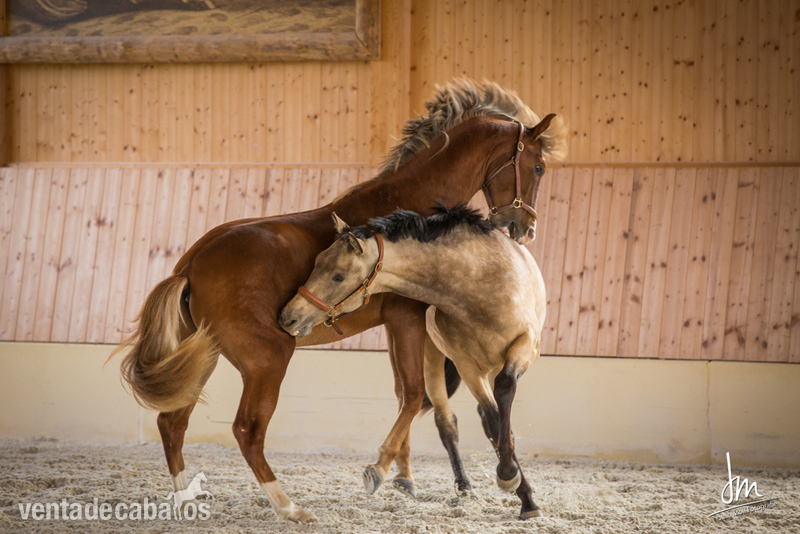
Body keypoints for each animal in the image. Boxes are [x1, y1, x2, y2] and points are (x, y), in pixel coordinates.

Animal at [278, 204, 546, 520]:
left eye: (338, 276)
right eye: (317, 262)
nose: (288, 316)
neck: (479, 281)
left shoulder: (525, 346)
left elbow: (503, 398)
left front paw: (515, 484)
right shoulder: (466, 363)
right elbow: (492, 419)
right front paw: (509, 476)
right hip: (434, 358)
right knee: (449, 423)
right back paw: (465, 488)